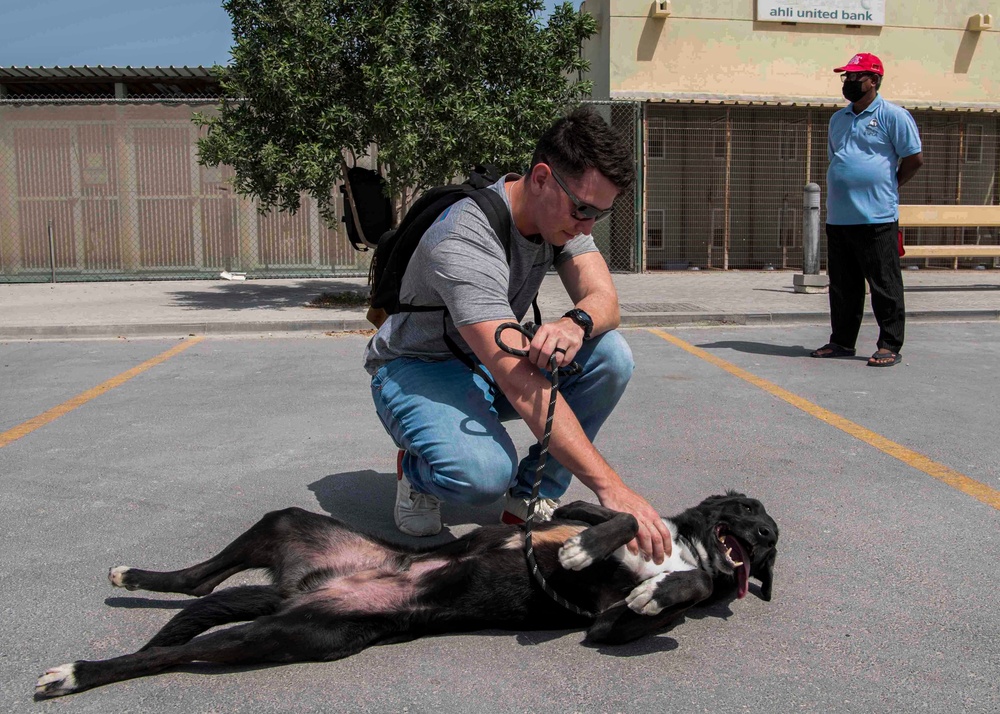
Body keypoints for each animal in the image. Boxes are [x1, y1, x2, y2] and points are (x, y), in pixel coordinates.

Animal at [35, 490, 776, 696]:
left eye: (770, 540)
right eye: (745, 507)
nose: (764, 531)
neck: (682, 547)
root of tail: (302, 590)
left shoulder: (604, 624)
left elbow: (680, 591)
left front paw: (667, 591)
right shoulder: (572, 511)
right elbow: (614, 516)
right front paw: (580, 548)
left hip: (285, 628)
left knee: (174, 644)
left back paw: (79, 671)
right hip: (287, 527)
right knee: (195, 586)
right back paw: (130, 586)